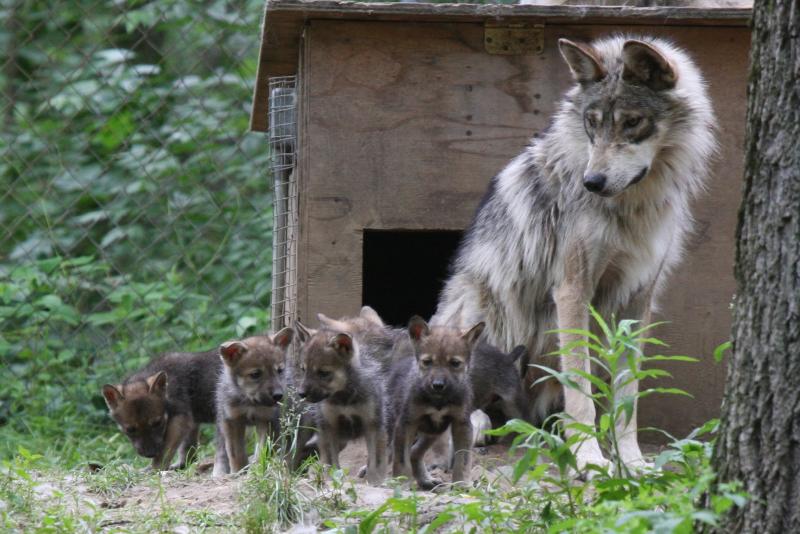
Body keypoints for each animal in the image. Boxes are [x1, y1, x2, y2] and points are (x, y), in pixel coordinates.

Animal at [213, 328, 293, 476]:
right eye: (255, 374)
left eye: (279, 370)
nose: (278, 395)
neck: (250, 403)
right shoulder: (233, 420)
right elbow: (235, 452)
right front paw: (238, 472)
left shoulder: (266, 420)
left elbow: (262, 450)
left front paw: (257, 469)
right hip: (222, 421)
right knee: (221, 449)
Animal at [295, 322, 388, 485]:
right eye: (303, 369)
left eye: (323, 373)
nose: (301, 394)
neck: (345, 399)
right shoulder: (329, 426)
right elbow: (331, 461)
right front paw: (332, 478)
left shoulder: (372, 424)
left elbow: (374, 460)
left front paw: (374, 480)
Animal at [388, 316, 484, 490]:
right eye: (427, 362)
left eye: (455, 363)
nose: (438, 385)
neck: (438, 401)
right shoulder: (406, 424)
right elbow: (400, 460)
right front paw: (401, 484)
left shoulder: (462, 424)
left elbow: (463, 459)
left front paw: (462, 484)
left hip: (434, 432)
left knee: (414, 452)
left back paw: (426, 480)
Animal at [432, 35, 716, 471]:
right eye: (592, 123)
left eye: (632, 122)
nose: (592, 181)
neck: (632, 208)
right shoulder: (571, 289)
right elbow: (580, 387)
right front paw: (589, 458)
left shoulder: (640, 297)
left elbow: (627, 395)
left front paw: (631, 461)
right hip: (481, 303)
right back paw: (479, 423)